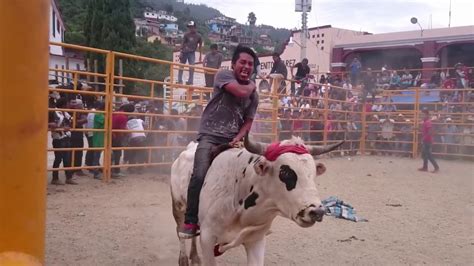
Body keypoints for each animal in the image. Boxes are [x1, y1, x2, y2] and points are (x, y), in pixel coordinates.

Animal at [172, 136, 342, 264]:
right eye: (285, 172)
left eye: (313, 173)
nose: (317, 211)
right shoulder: (207, 239)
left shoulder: (256, 240)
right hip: (178, 207)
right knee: (181, 231)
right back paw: (184, 258)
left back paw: (194, 257)